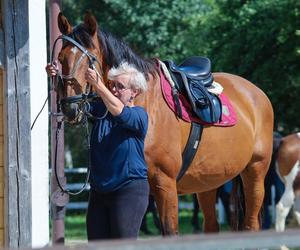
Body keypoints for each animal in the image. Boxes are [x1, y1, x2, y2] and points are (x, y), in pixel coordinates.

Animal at [54, 12, 274, 233]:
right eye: (60, 59)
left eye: (89, 61)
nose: (70, 108)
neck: (146, 104)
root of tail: (257, 93)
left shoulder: (165, 184)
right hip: (207, 183)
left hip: (255, 173)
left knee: (251, 224)